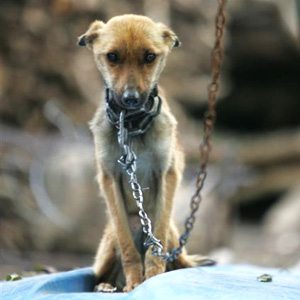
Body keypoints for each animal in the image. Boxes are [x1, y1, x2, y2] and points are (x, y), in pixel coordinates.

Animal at [77, 14, 211, 292]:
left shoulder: (168, 174)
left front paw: (152, 279)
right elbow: (127, 247)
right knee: (101, 273)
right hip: (108, 244)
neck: (131, 126)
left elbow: (156, 242)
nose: (131, 99)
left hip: (173, 235)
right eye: (112, 56)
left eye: (150, 57)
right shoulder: (109, 179)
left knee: (176, 258)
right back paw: (105, 286)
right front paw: (135, 283)